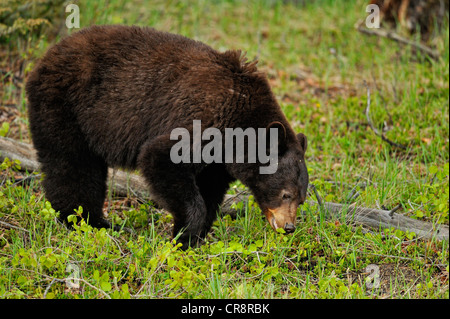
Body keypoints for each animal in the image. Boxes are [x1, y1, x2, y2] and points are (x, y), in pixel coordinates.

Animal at [26, 25, 308, 250]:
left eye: (301, 198)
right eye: (286, 194)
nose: (289, 227)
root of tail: (46, 55)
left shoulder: (218, 160)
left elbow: (209, 188)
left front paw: (193, 237)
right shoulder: (202, 121)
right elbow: (160, 157)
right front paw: (183, 237)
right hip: (65, 105)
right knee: (72, 164)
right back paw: (85, 221)